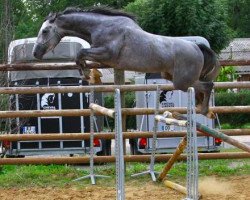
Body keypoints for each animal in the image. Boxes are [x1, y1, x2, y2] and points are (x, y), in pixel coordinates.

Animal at [32, 7, 220, 118]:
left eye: (45, 31)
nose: (36, 53)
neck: (100, 26)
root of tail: (197, 47)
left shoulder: (107, 53)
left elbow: (81, 53)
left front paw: (84, 72)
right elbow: (82, 55)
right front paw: (85, 71)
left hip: (181, 81)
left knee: (208, 86)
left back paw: (203, 112)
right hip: (172, 76)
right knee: (202, 89)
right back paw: (202, 111)